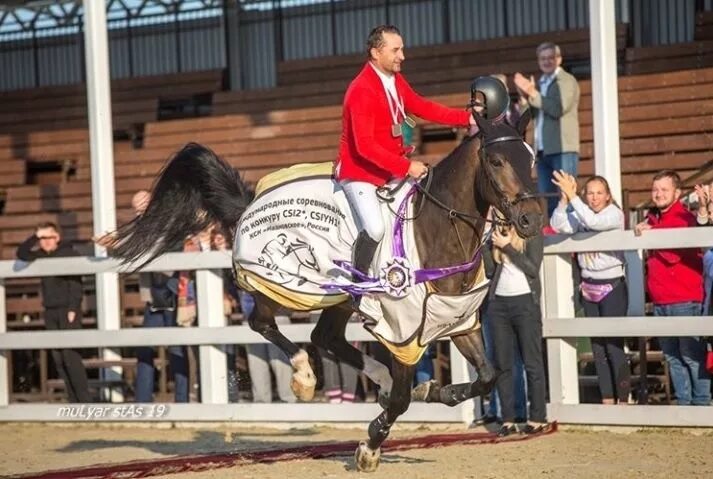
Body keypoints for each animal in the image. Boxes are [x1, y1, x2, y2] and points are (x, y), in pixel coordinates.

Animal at [108, 111, 540, 472]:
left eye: (532, 157)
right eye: (497, 162)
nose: (531, 219)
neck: (433, 230)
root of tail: (249, 203)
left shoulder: (456, 318)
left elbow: (488, 376)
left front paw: (437, 391)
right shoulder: (401, 328)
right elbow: (404, 398)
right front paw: (370, 446)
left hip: (338, 299)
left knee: (325, 337)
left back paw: (378, 380)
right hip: (280, 287)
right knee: (264, 323)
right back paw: (304, 376)